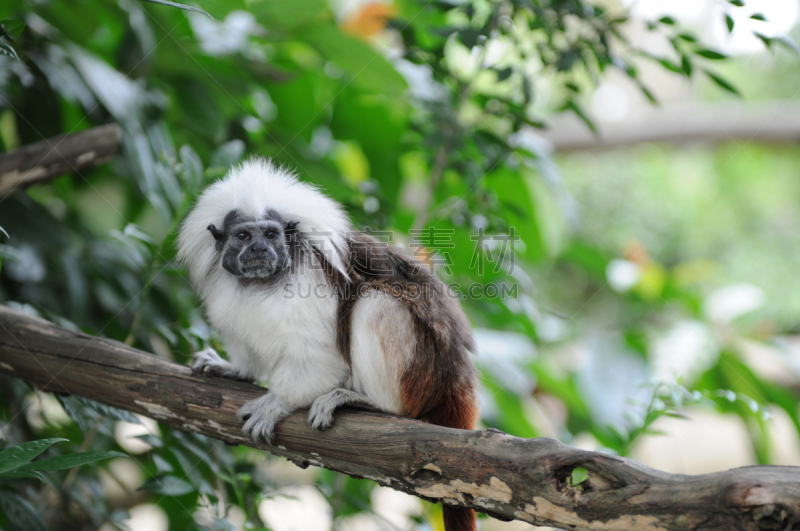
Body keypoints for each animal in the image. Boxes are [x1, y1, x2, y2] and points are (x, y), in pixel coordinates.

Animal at [178, 159, 478, 531]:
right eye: (244, 236)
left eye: (271, 234)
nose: (260, 250)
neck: (261, 284)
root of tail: (456, 376)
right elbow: (246, 349)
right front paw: (233, 369)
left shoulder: (309, 284)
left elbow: (322, 358)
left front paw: (278, 401)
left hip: (422, 373)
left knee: (374, 302)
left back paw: (370, 402)